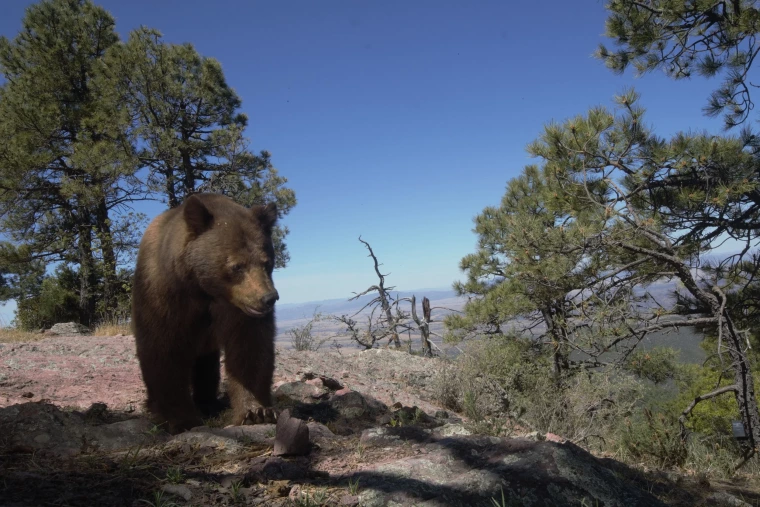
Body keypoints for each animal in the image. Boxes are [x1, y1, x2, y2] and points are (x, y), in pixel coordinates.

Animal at [131, 193, 280, 433]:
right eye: (237, 266)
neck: (204, 289)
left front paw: (257, 411)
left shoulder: (237, 309)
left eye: (267, 262)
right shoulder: (165, 295)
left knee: (206, 363)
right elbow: (162, 348)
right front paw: (180, 418)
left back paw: (208, 402)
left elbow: (250, 346)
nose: (268, 298)